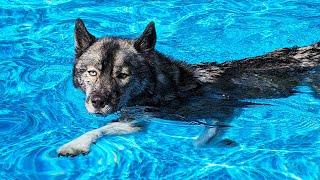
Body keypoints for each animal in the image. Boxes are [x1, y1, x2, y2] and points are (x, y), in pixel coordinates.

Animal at [57, 17, 320, 156]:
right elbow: (102, 129)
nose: (97, 103)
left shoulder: (223, 111)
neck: (162, 86)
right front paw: (77, 142)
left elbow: (200, 142)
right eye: (92, 73)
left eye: (123, 75)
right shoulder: (136, 122)